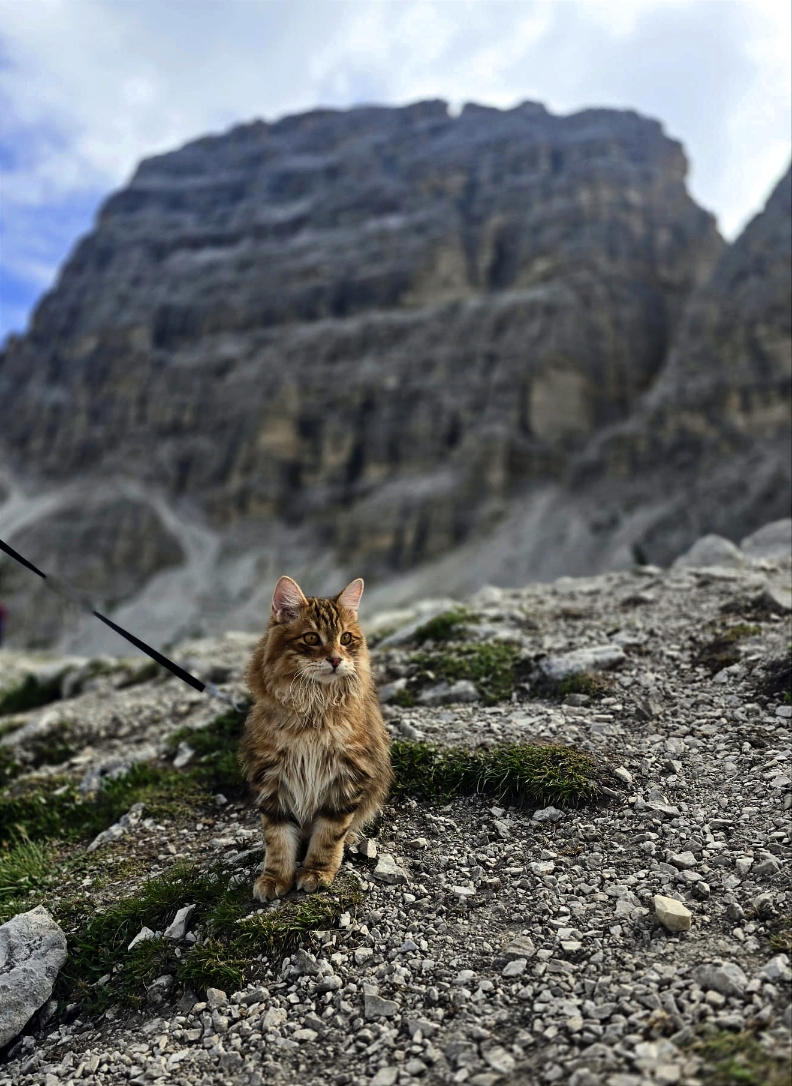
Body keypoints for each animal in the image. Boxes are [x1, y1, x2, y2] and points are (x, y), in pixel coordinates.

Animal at [239, 577, 391, 899]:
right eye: (311, 638)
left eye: (346, 638)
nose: (335, 659)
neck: (312, 711)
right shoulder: (273, 779)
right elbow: (277, 839)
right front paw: (275, 878)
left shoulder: (347, 775)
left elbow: (329, 833)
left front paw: (317, 871)